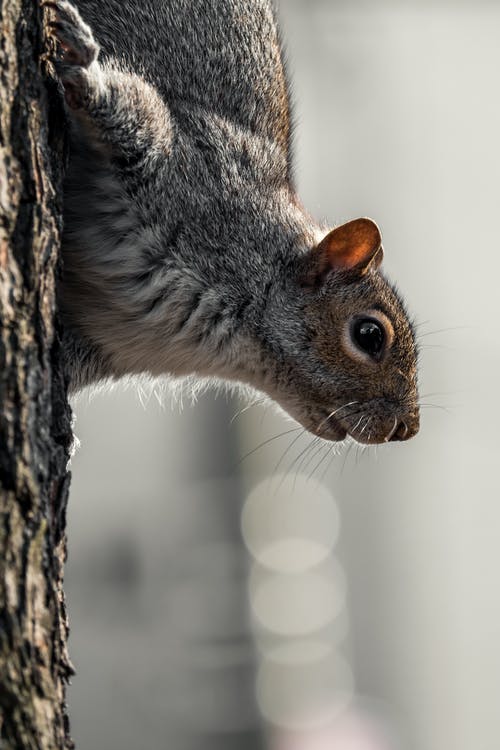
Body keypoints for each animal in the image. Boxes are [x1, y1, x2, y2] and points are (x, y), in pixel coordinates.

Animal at [43, 0, 420, 446]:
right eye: (370, 335)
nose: (407, 429)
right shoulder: (179, 169)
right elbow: (128, 112)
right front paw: (81, 63)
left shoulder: (101, 342)